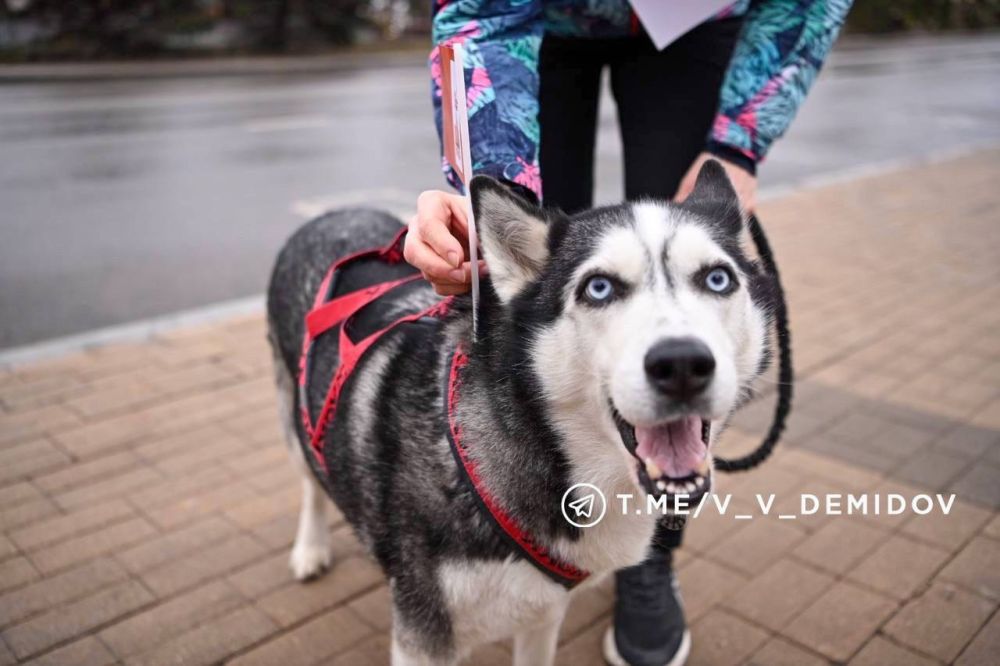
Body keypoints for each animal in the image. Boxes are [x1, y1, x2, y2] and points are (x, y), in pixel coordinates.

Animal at [264, 158, 772, 660]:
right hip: (295, 417)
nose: (682, 363)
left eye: (718, 279)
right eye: (599, 288)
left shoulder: (543, 615)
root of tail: (337, 212)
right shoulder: (422, 636)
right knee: (310, 479)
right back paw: (310, 549)